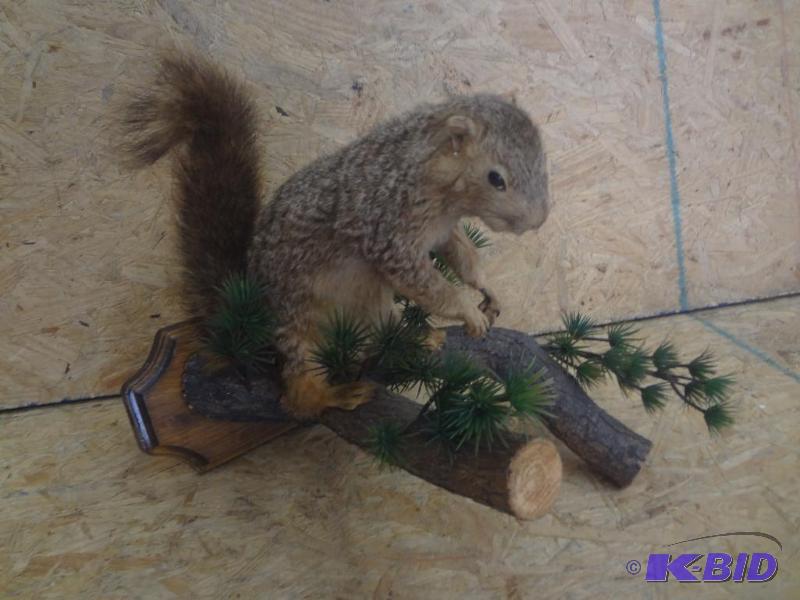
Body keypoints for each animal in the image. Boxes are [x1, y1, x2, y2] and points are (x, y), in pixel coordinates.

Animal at [122, 54, 550, 419]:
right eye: (496, 178)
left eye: (543, 159)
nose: (539, 221)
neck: (430, 177)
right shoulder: (389, 229)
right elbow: (424, 282)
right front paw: (467, 310)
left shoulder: (444, 232)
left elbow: (462, 257)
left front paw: (488, 290)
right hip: (299, 326)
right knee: (299, 396)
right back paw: (335, 394)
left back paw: (416, 337)